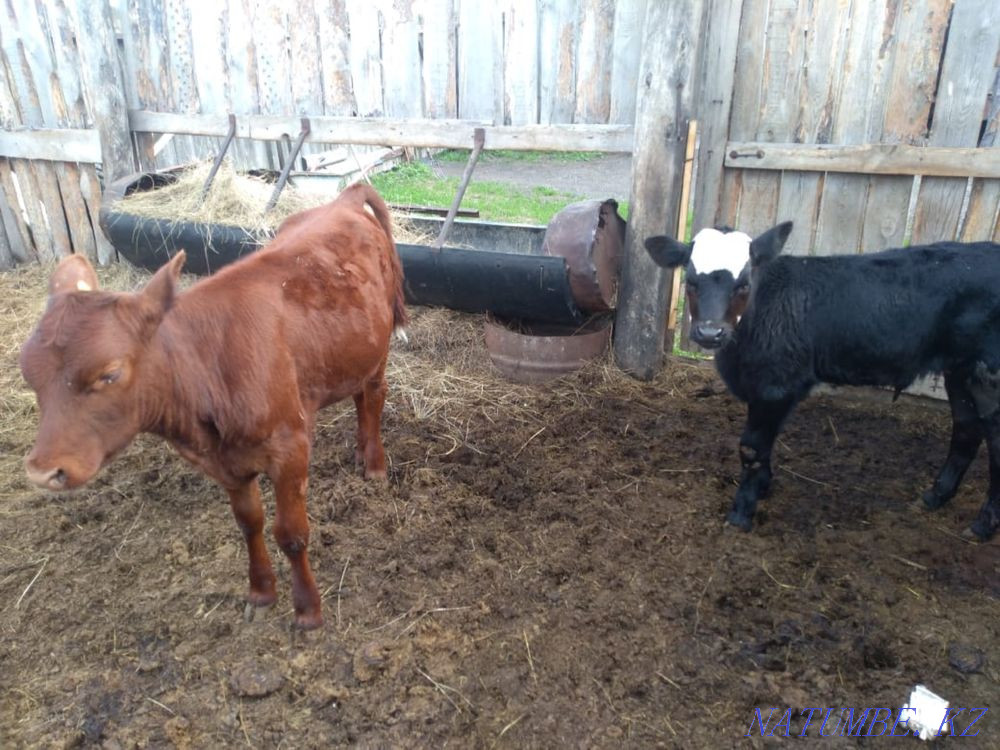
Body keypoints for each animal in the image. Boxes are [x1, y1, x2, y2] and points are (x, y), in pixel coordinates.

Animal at [20, 183, 407, 629]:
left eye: (110, 373)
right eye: (27, 373)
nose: (43, 471)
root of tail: (344, 199)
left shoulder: (290, 448)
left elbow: (291, 534)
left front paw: (308, 610)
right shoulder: (224, 463)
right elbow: (249, 523)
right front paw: (261, 592)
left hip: (379, 343)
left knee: (374, 395)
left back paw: (374, 464)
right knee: (359, 394)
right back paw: (361, 452)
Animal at [644, 222, 1000, 540]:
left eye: (743, 284)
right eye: (691, 281)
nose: (709, 332)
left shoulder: (776, 386)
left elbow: (752, 448)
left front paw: (742, 512)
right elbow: (765, 446)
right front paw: (764, 487)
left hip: (988, 372)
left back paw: (983, 525)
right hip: (960, 369)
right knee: (967, 428)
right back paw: (935, 496)